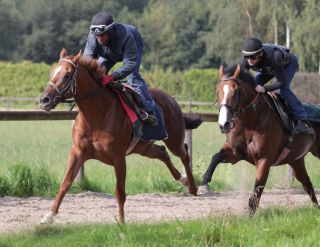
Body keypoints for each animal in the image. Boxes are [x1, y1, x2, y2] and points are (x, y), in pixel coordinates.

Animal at [38, 48, 201, 224]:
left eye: (67, 75)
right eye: (52, 72)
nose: (44, 100)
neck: (97, 115)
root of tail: (171, 99)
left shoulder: (118, 158)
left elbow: (120, 193)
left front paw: (122, 223)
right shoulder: (78, 152)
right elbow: (66, 183)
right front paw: (49, 216)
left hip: (174, 139)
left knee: (184, 153)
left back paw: (192, 187)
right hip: (143, 147)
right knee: (162, 153)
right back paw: (182, 179)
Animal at [198, 64, 320, 215]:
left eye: (236, 92)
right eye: (217, 92)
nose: (223, 124)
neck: (249, 123)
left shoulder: (264, 160)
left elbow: (257, 190)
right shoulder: (235, 153)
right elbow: (216, 157)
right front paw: (203, 184)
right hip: (296, 160)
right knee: (307, 184)